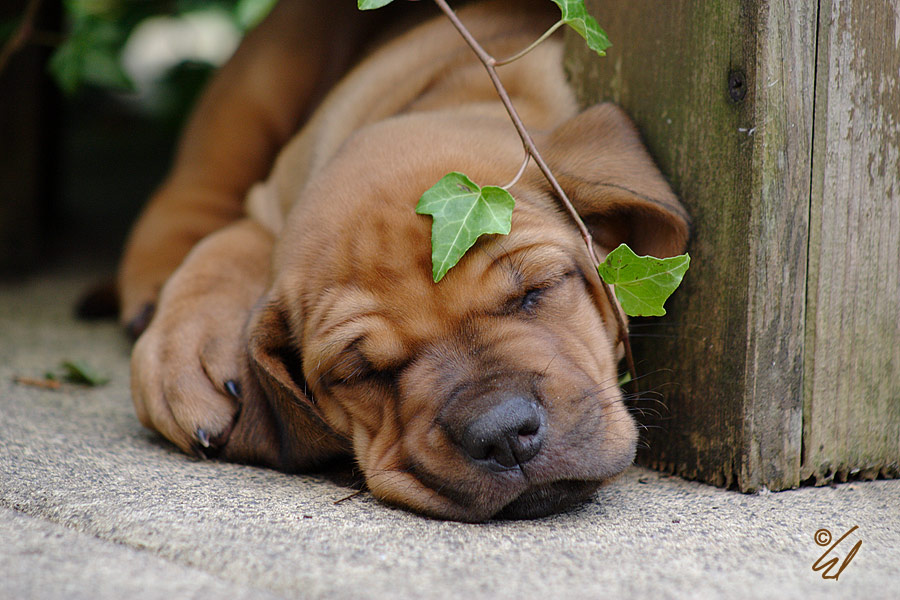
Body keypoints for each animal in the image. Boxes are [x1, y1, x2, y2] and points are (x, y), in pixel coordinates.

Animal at [121, 1, 688, 520]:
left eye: (537, 291)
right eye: (360, 373)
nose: (503, 433)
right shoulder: (269, 200)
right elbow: (228, 245)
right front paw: (187, 346)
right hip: (255, 93)